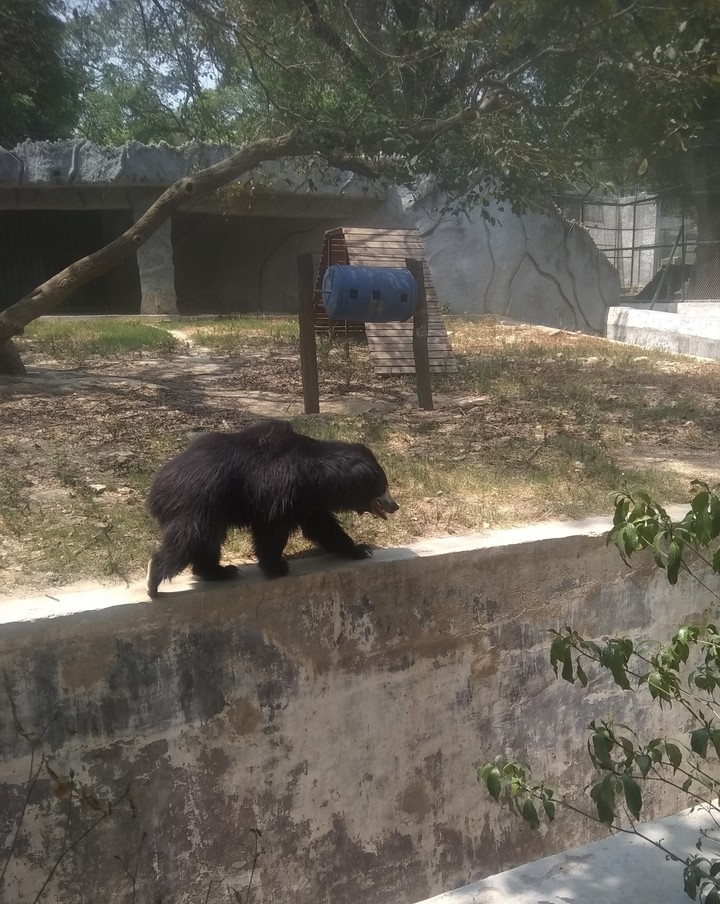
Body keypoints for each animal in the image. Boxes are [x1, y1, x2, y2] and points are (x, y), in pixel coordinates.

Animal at [146, 418, 398, 597]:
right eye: (383, 486)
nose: (394, 506)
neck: (316, 476)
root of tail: (157, 487)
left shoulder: (306, 500)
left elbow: (322, 526)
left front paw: (360, 550)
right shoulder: (280, 490)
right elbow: (272, 531)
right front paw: (277, 568)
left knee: (205, 543)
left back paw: (220, 572)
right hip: (198, 505)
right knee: (189, 539)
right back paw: (155, 584)